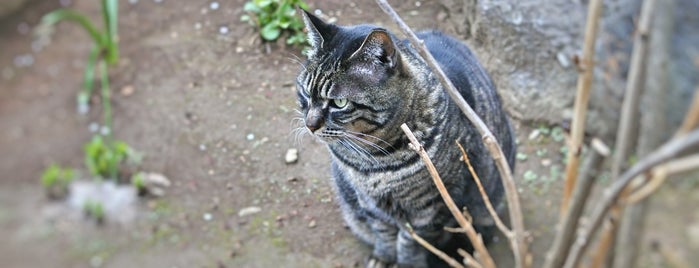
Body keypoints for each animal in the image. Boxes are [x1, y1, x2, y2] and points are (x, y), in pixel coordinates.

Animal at [292, 9, 516, 266]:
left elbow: (412, 242)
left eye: (339, 102)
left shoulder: (433, 206)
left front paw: (407, 261)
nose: (310, 125)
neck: (374, 159)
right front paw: (383, 257)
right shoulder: (371, 204)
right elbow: (385, 233)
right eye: (306, 93)